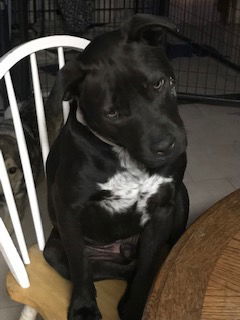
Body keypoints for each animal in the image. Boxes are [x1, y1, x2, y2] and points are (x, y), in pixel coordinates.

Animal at [43, 13, 189, 320]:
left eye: (158, 84)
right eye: (112, 114)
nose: (166, 146)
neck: (126, 157)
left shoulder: (162, 208)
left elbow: (146, 267)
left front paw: (135, 306)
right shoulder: (69, 210)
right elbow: (81, 267)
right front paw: (84, 307)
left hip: (180, 196)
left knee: (153, 255)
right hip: (55, 249)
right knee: (103, 266)